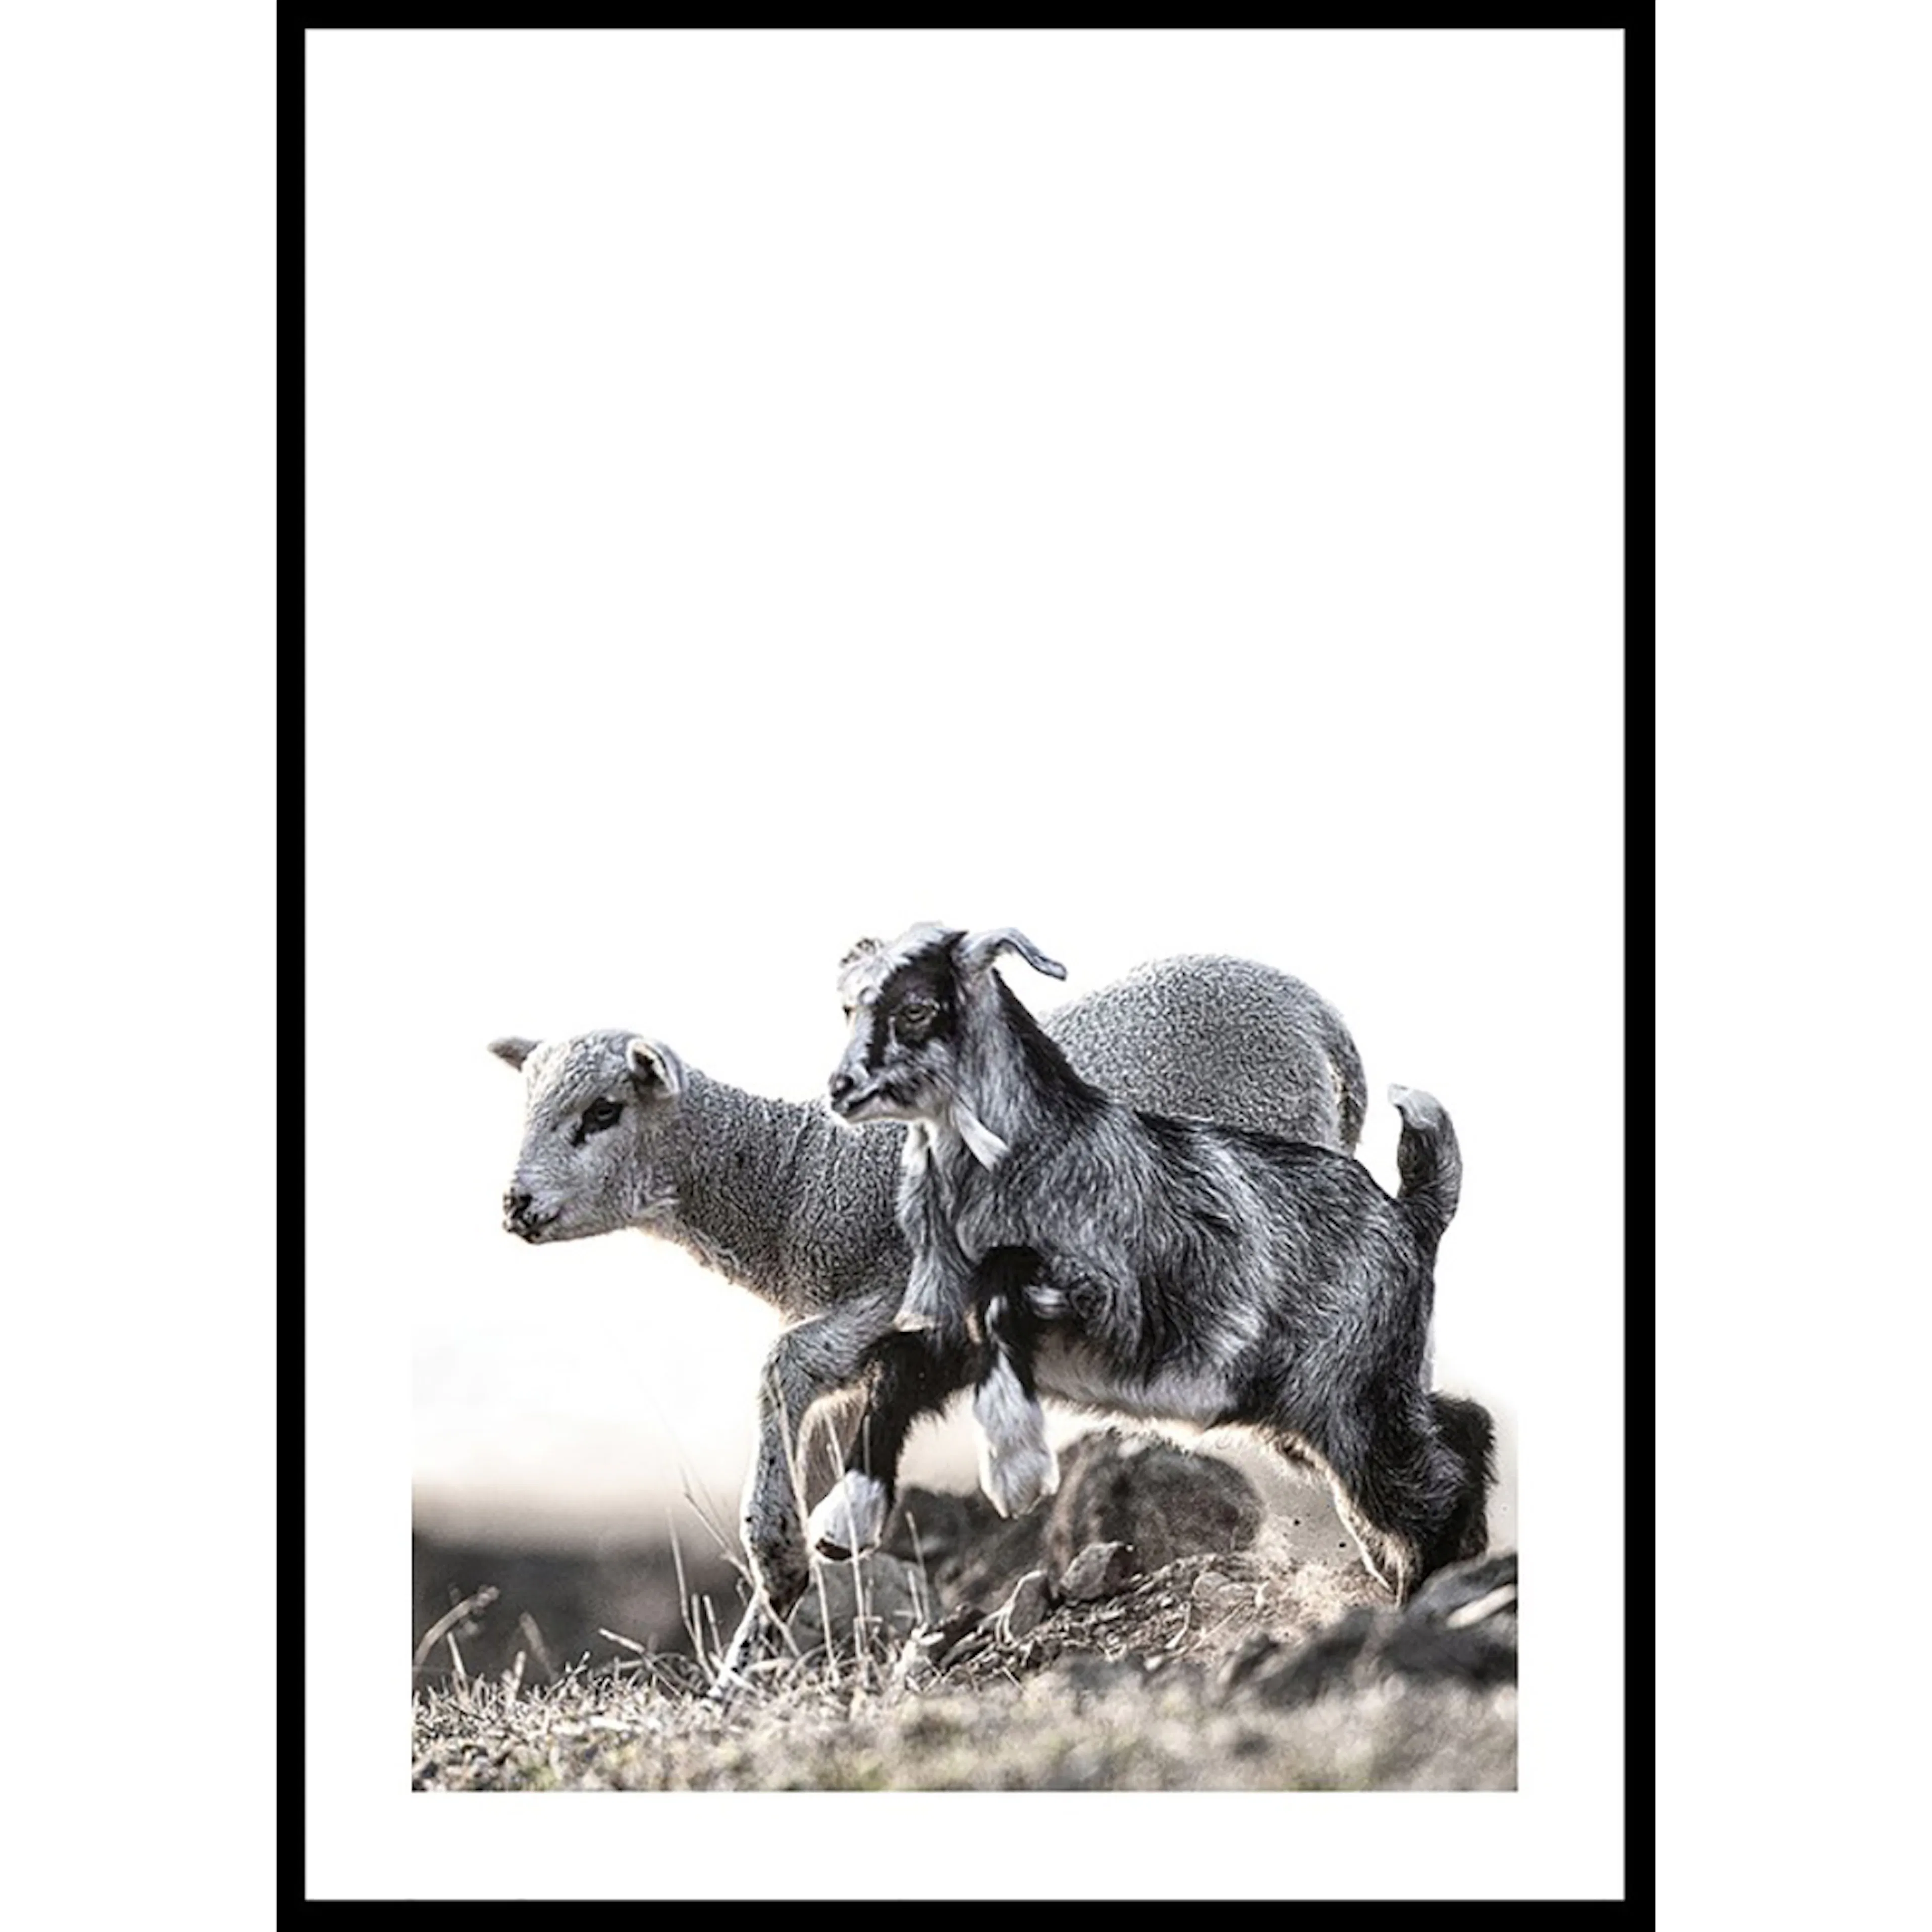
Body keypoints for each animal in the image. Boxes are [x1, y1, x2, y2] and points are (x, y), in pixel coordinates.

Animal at [489, 952, 1368, 1678]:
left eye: (603, 1112)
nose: (515, 1206)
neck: (795, 1180)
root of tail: (1320, 1017)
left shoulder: (889, 1291)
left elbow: (784, 1371)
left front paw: (775, 1582)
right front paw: (753, 1650)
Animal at [822, 923, 1495, 1604]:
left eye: (915, 1009)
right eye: (849, 1007)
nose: (840, 1091)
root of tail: (1412, 1212)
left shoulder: (1113, 1305)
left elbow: (1001, 1289)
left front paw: (1016, 1468)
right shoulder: (946, 1330)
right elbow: (896, 1369)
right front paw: (845, 1521)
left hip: (1351, 1398)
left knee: (1423, 1481)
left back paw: (1425, 1590)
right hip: (1331, 1400)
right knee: (1456, 1426)